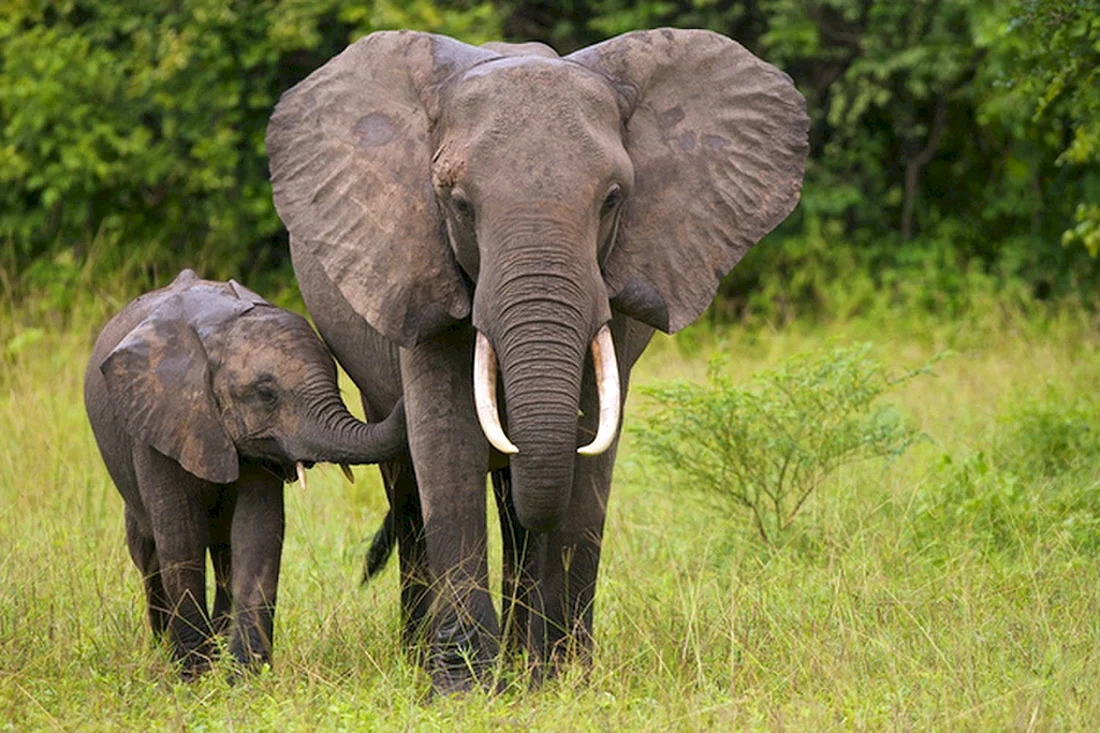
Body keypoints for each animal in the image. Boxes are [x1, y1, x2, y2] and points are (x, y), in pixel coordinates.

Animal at [83, 269, 407, 678]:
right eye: (266, 394)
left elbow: (258, 532)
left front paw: (245, 675)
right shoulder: (159, 420)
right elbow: (181, 535)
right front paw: (194, 675)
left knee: (224, 551)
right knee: (147, 550)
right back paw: (163, 648)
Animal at [266, 28, 808, 693]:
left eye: (612, 200)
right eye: (458, 203)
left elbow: (589, 447)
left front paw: (565, 680)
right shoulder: (417, 262)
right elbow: (447, 444)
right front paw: (461, 689)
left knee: (515, 500)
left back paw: (523, 664)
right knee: (411, 487)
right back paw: (429, 657)